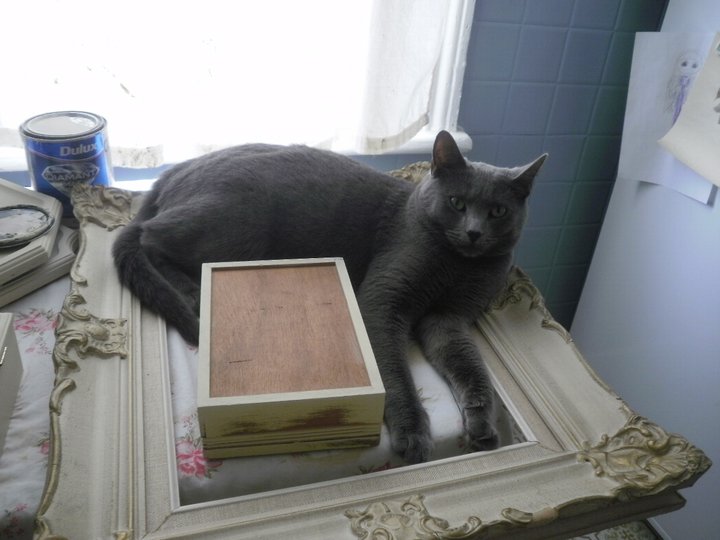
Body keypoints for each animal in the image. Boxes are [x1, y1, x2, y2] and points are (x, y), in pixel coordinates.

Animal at [114, 132, 544, 464]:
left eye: (498, 211)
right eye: (457, 203)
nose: (473, 232)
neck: (455, 264)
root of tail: (169, 174)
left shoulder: (450, 318)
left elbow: (469, 367)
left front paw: (482, 426)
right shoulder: (382, 299)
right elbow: (394, 371)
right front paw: (412, 435)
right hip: (238, 222)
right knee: (147, 239)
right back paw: (192, 294)